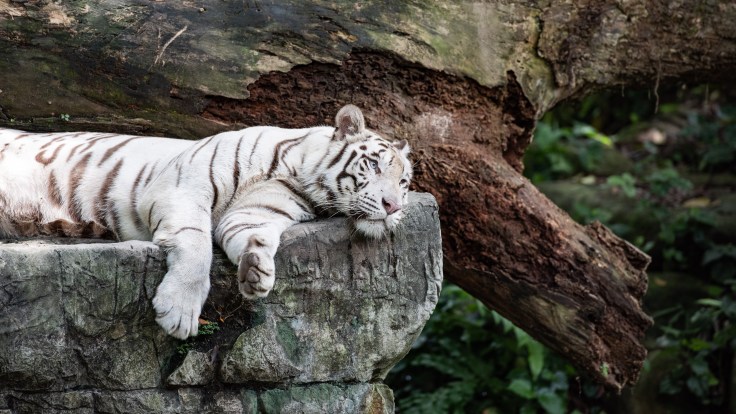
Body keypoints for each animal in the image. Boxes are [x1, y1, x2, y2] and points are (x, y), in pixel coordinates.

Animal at [0, 105, 412, 339]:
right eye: (374, 165)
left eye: (405, 182)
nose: (393, 206)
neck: (296, 173)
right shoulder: (182, 187)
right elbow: (197, 244)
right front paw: (179, 312)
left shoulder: (257, 210)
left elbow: (252, 234)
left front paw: (257, 271)